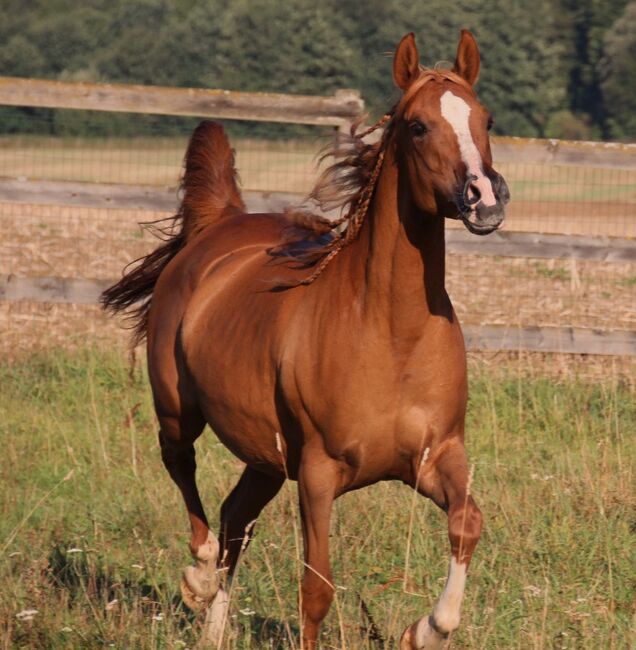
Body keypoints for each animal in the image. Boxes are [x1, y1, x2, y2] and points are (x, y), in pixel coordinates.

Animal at [103, 27, 512, 644]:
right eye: (417, 126)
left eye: (485, 119)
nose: (484, 198)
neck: (390, 335)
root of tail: (219, 223)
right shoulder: (318, 475)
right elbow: (316, 590)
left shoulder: (437, 457)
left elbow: (468, 523)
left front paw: (425, 630)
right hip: (178, 406)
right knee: (182, 467)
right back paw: (198, 576)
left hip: (265, 455)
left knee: (236, 517)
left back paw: (214, 631)